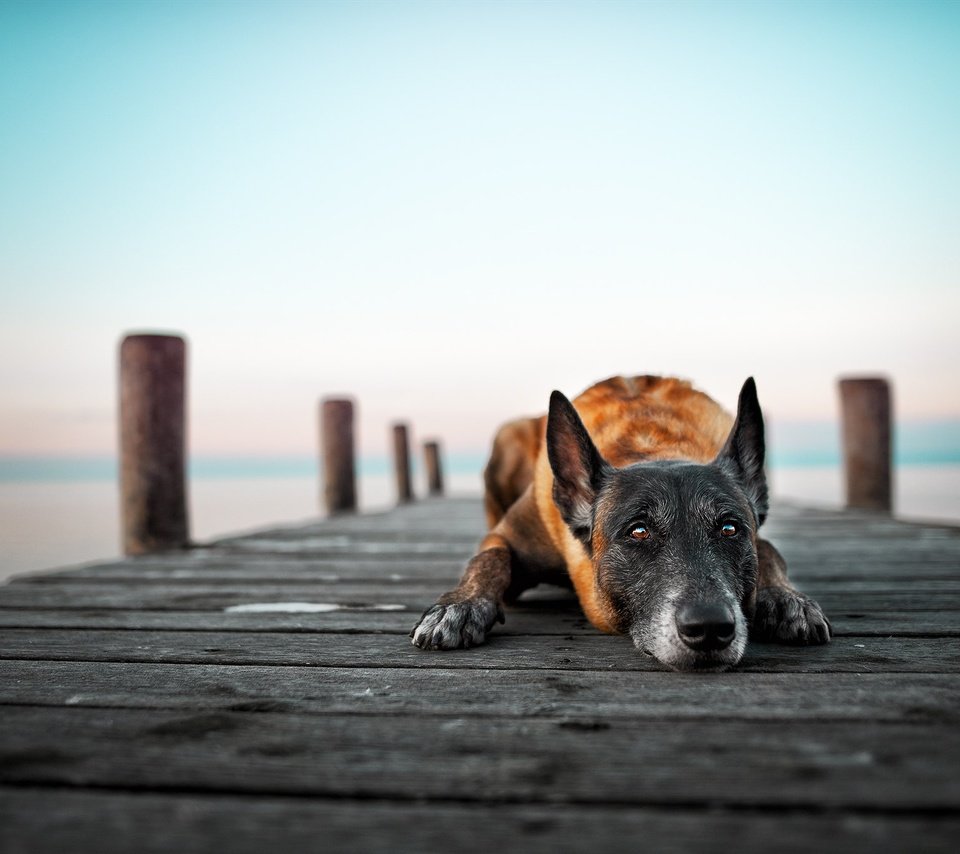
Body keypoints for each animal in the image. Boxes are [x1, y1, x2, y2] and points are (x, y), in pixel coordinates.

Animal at [412, 378, 832, 672]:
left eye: (729, 529)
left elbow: (769, 549)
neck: (651, 446)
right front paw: (459, 606)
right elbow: (489, 559)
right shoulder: (506, 537)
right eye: (638, 531)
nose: (711, 627)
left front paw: (787, 600)